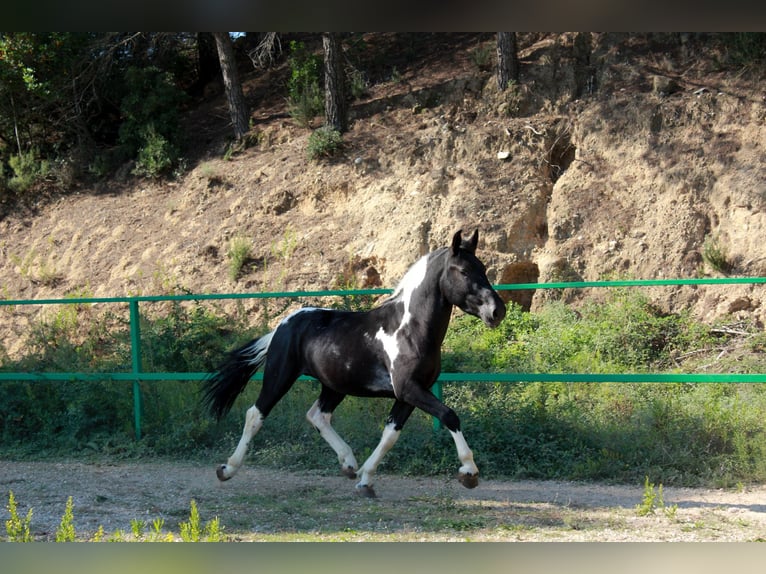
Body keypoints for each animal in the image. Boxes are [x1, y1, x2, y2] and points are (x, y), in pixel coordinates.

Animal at [202, 229, 506, 497]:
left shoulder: (410, 394)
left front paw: (365, 481)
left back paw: (349, 464)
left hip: (334, 385)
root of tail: (283, 325)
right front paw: (469, 473)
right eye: (463, 271)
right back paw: (226, 469)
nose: (497, 311)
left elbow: (390, 434)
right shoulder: (409, 389)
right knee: (256, 414)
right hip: (280, 376)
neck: (410, 329)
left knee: (317, 415)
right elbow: (449, 415)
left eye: (484, 268)